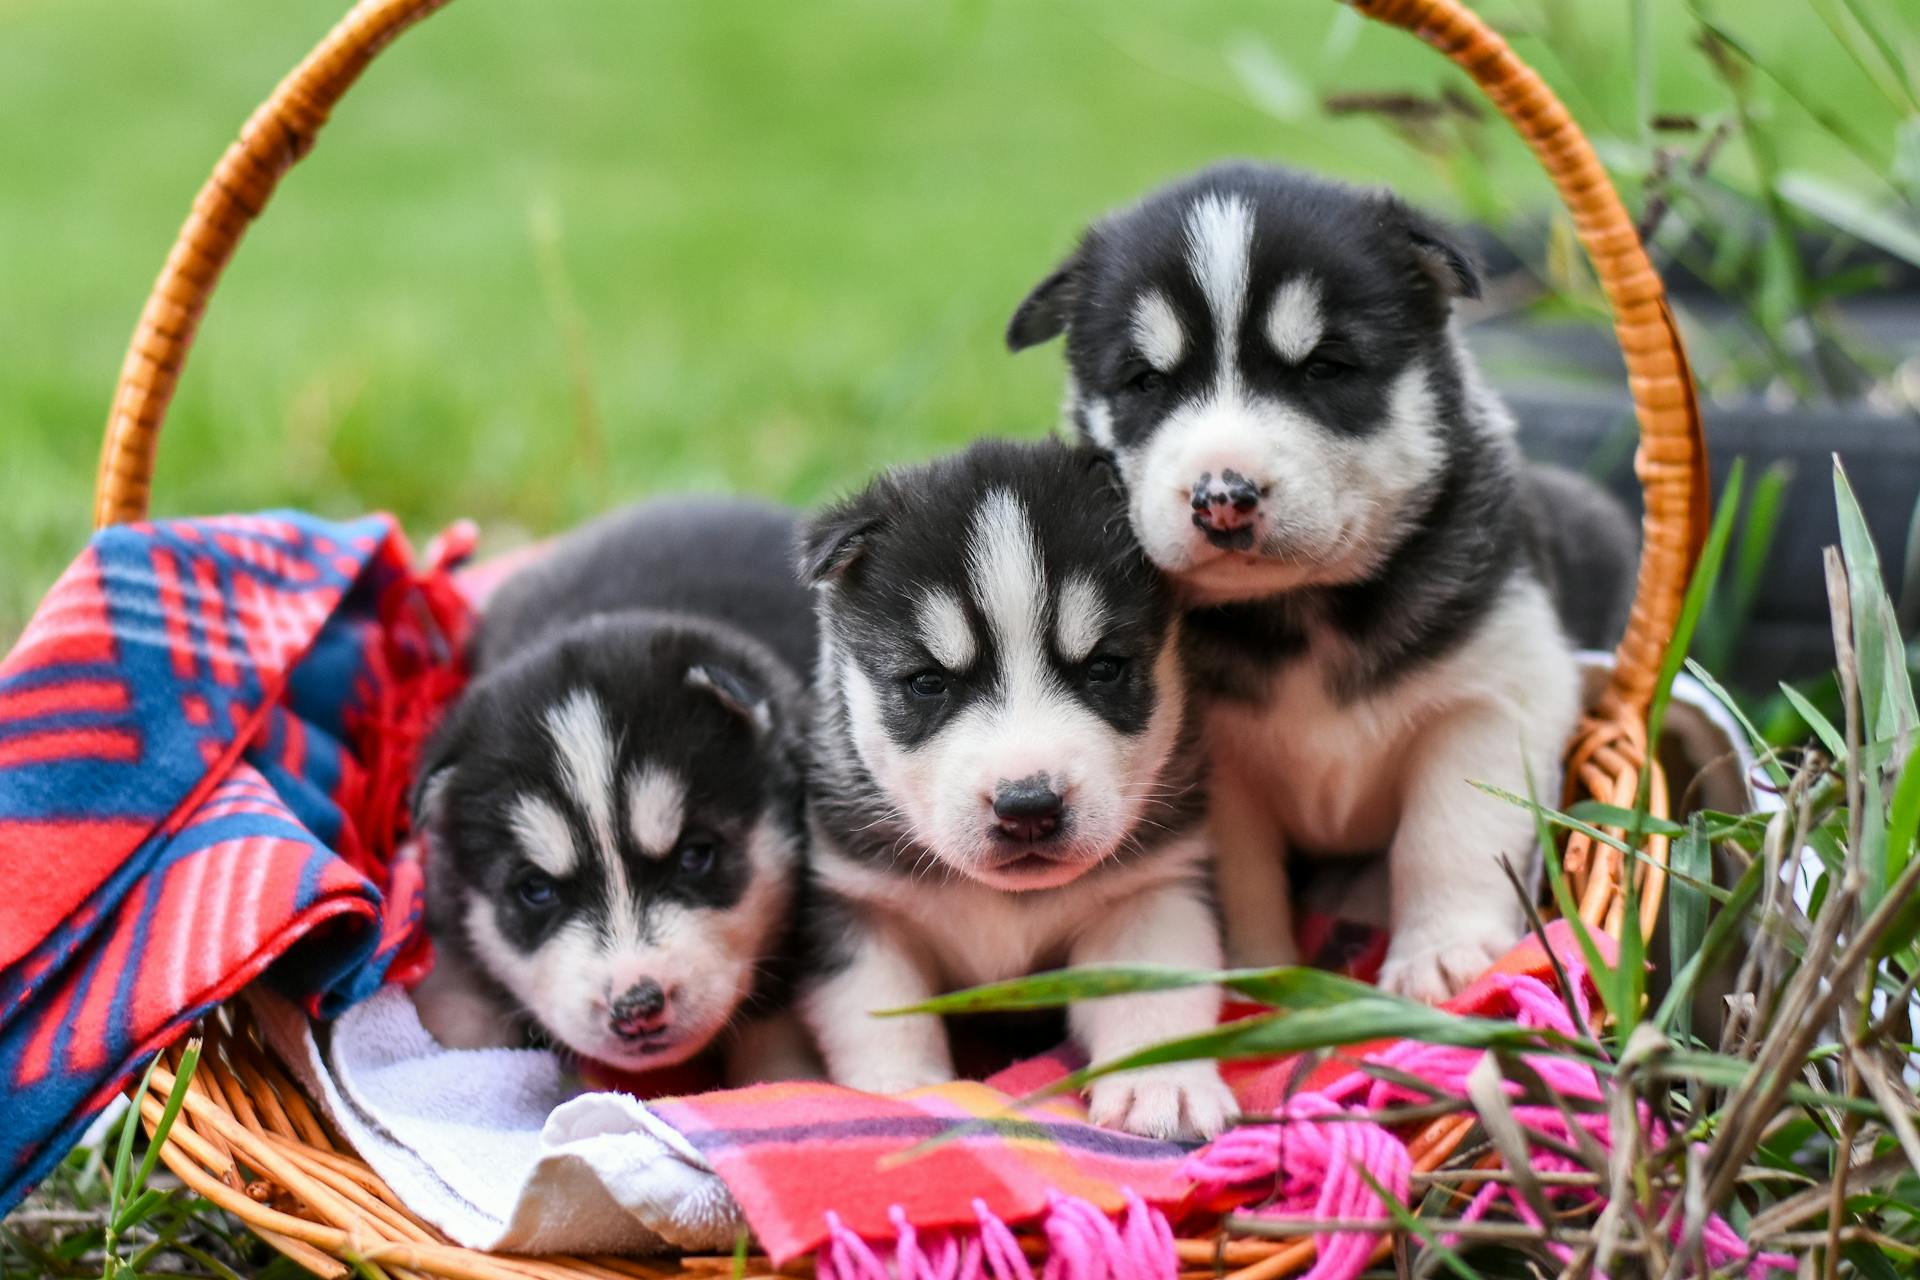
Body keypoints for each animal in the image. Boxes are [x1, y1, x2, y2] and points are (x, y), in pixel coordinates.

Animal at [791, 437, 1228, 1143]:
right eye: (928, 682)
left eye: (1105, 667)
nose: (1028, 808)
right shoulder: (856, 901)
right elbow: (876, 1004)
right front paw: (898, 1087)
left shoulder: (1153, 887)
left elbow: (1153, 986)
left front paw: (1163, 1083)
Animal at [1006, 160, 1635, 997]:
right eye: (1144, 381)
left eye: (1325, 368)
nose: (1223, 497)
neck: (1300, 611)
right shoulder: (1210, 768)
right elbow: (1240, 877)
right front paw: (1260, 979)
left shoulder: (1498, 692)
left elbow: (1449, 831)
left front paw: (1442, 954)